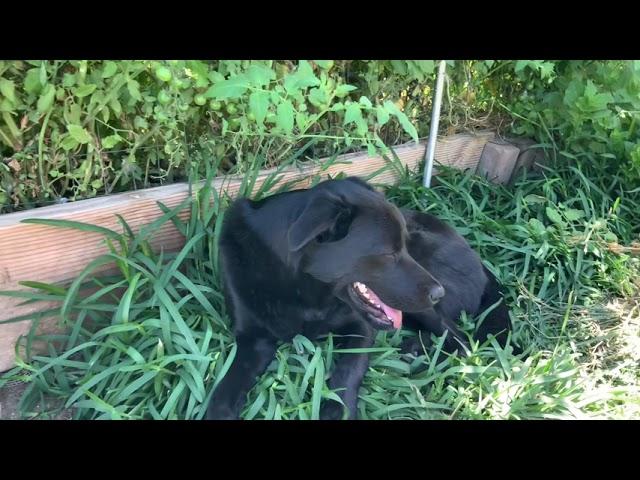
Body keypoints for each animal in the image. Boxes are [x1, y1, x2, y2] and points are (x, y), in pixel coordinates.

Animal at [206, 177, 516, 420]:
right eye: (389, 254)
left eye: (404, 246)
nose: (437, 293)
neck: (304, 289)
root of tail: (482, 267)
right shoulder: (253, 339)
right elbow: (225, 388)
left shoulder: (361, 325)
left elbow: (348, 371)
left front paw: (337, 412)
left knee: (461, 341)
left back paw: (417, 353)